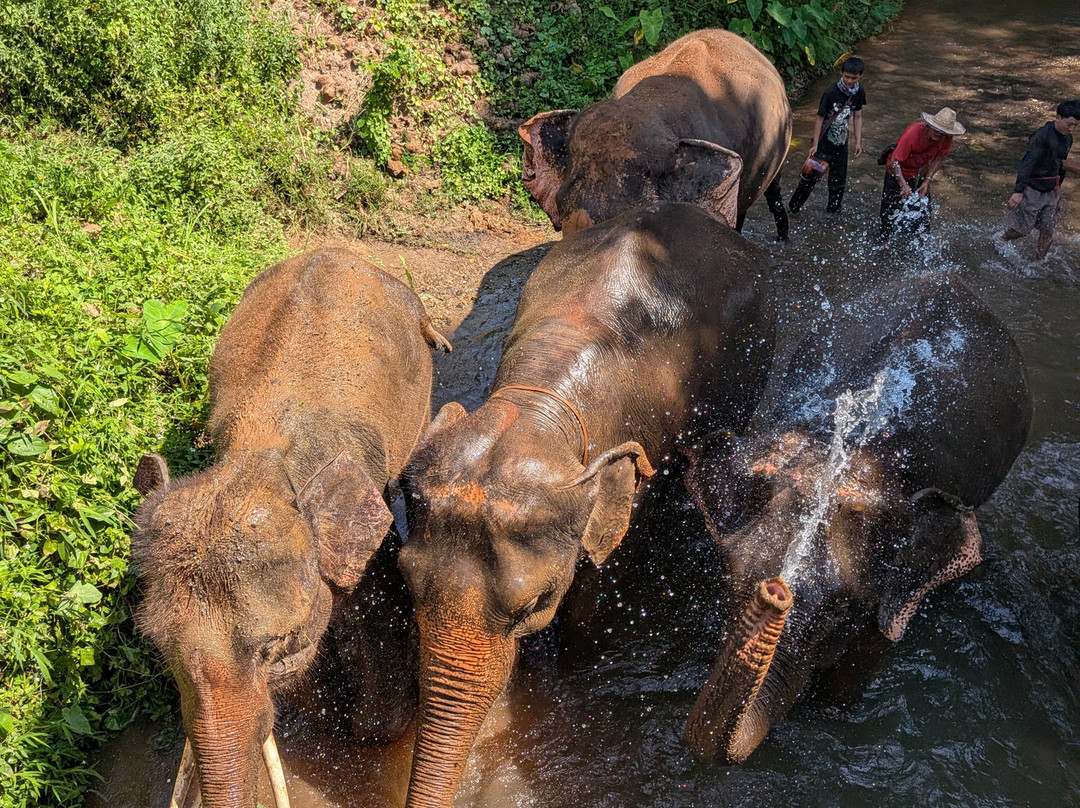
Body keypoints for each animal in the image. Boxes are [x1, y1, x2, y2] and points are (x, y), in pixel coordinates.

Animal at [681, 273, 1032, 764]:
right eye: (733, 581)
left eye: (842, 611)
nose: (777, 589)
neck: (849, 451)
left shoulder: (899, 587)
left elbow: (877, 641)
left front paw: (828, 719)